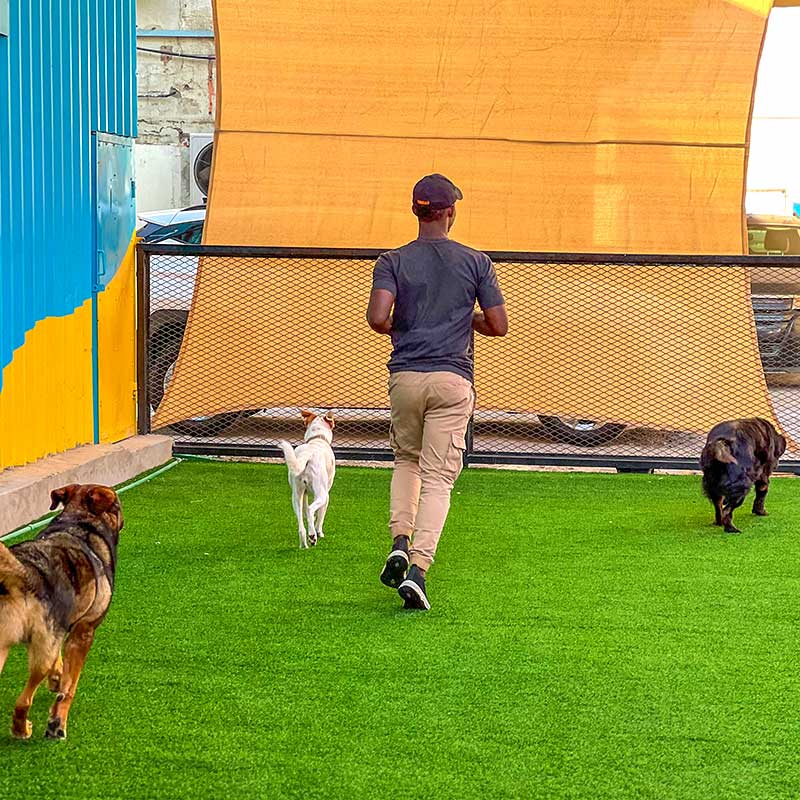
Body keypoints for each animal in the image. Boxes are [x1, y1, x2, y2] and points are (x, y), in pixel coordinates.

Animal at [0, 484, 124, 740]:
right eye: (117, 506)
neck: (77, 520)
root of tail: (24, 572)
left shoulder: (59, 630)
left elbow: (61, 667)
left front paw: (57, 678)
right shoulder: (83, 632)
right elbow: (69, 687)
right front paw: (57, 723)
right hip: (40, 656)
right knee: (23, 701)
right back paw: (21, 729)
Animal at [279, 410, 336, 549]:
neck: (317, 438)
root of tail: (308, 454)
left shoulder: (304, 494)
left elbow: (307, 512)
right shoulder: (326, 496)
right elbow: (320, 515)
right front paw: (319, 532)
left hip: (296, 496)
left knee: (301, 524)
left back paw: (304, 543)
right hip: (322, 494)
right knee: (310, 509)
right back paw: (313, 536)